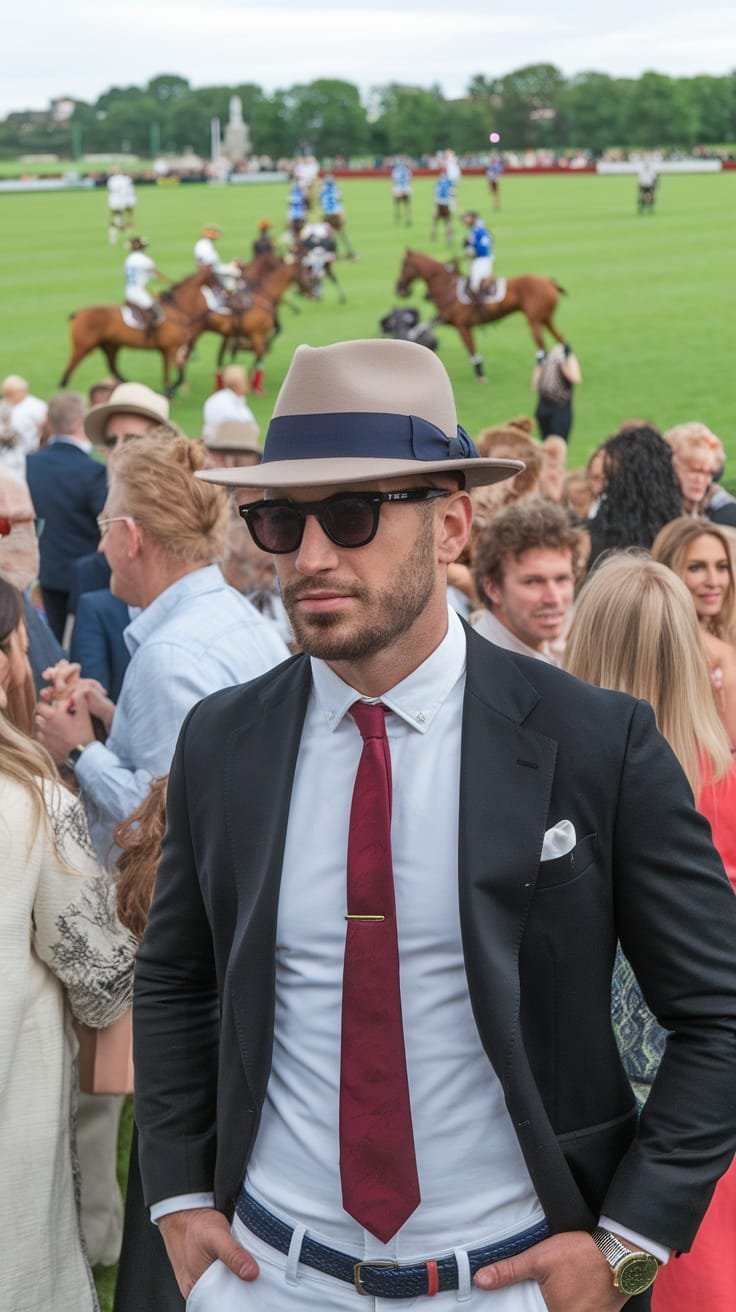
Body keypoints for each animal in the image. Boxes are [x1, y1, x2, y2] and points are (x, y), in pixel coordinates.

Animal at [60, 263, 215, 390]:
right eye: (215, 276)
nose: (220, 290)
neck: (177, 309)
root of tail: (78, 314)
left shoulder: (167, 350)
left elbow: (172, 374)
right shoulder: (171, 348)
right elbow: (175, 375)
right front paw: (168, 393)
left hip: (111, 345)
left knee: (113, 367)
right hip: (82, 347)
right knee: (67, 372)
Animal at [396, 246, 561, 380]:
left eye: (404, 265)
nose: (399, 289)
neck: (447, 287)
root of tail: (549, 281)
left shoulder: (462, 326)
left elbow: (471, 349)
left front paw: (480, 374)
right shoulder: (443, 319)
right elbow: (419, 329)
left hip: (534, 319)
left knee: (541, 344)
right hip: (545, 318)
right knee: (560, 339)